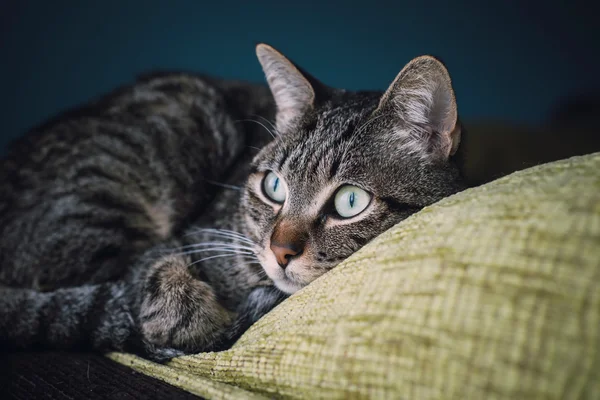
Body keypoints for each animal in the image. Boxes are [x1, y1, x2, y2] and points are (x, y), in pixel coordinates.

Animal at [0, 43, 466, 362]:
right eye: (274, 186)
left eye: (350, 201)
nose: (280, 251)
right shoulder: (194, 235)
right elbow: (159, 266)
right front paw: (188, 314)